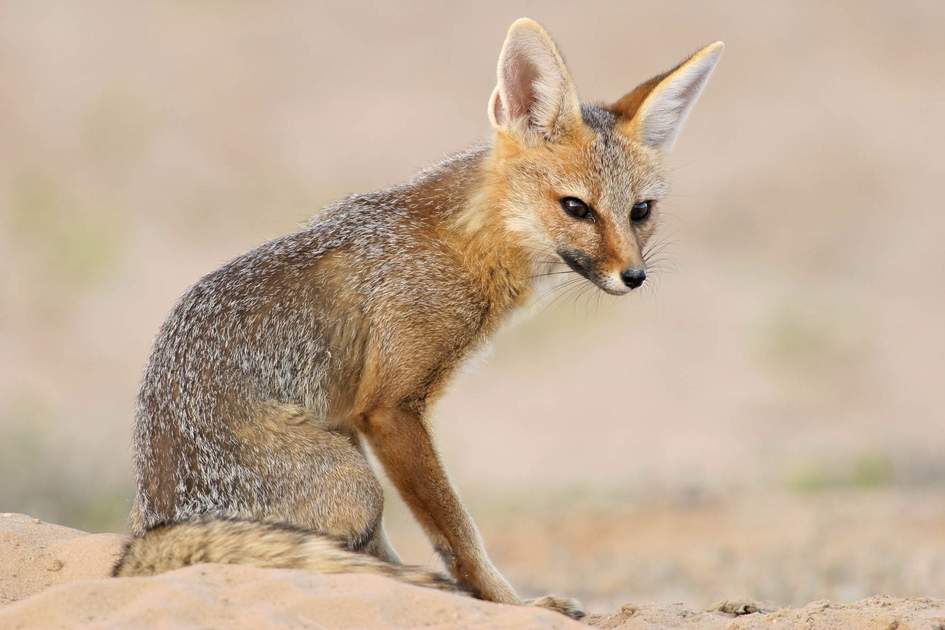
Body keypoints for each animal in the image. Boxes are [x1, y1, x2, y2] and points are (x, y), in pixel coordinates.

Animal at [118, 17, 724, 624]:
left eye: (640, 212)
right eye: (576, 207)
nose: (634, 276)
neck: (462, 242)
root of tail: (152, 524)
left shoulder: (362, 416)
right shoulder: (391, 410)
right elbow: (459, 534)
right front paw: (512, 604)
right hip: (357, 484)